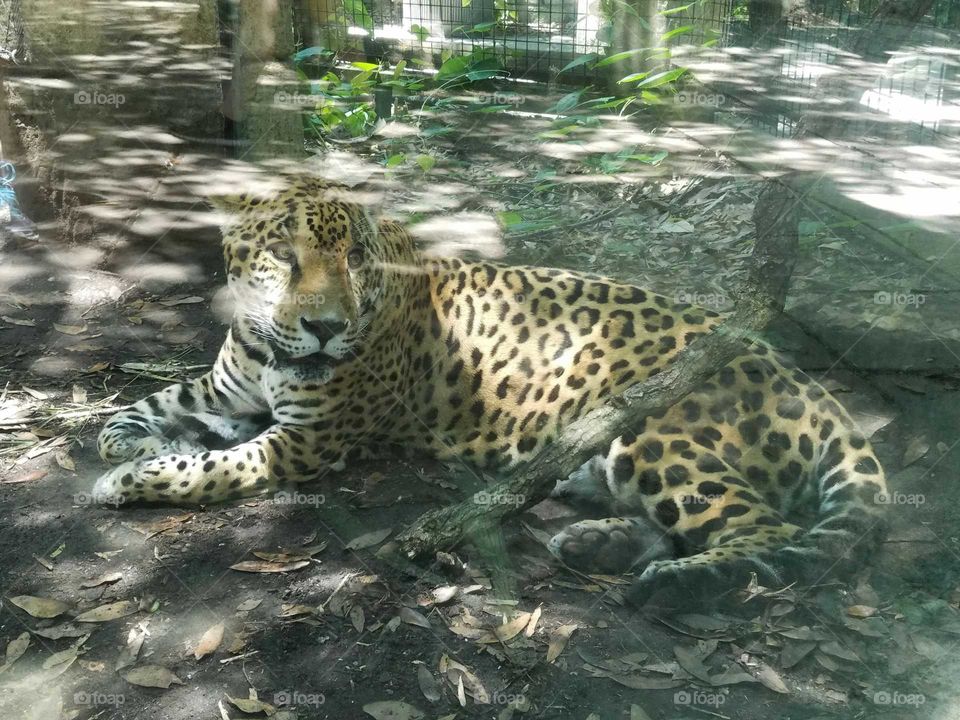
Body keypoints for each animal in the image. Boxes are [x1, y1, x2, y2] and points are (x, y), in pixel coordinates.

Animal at [94, 177, 888, 602]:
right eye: (284, 257)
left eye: (354, 260)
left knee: (766, 531)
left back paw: (672, 582)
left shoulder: (305, 439)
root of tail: (805, 384)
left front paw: (129, 481)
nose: (324, 327)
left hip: (654, 430)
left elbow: (210, 467)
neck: (269, 342)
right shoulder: (226, 392)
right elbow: (150, 408)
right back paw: (596, 543)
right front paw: (127, 440)